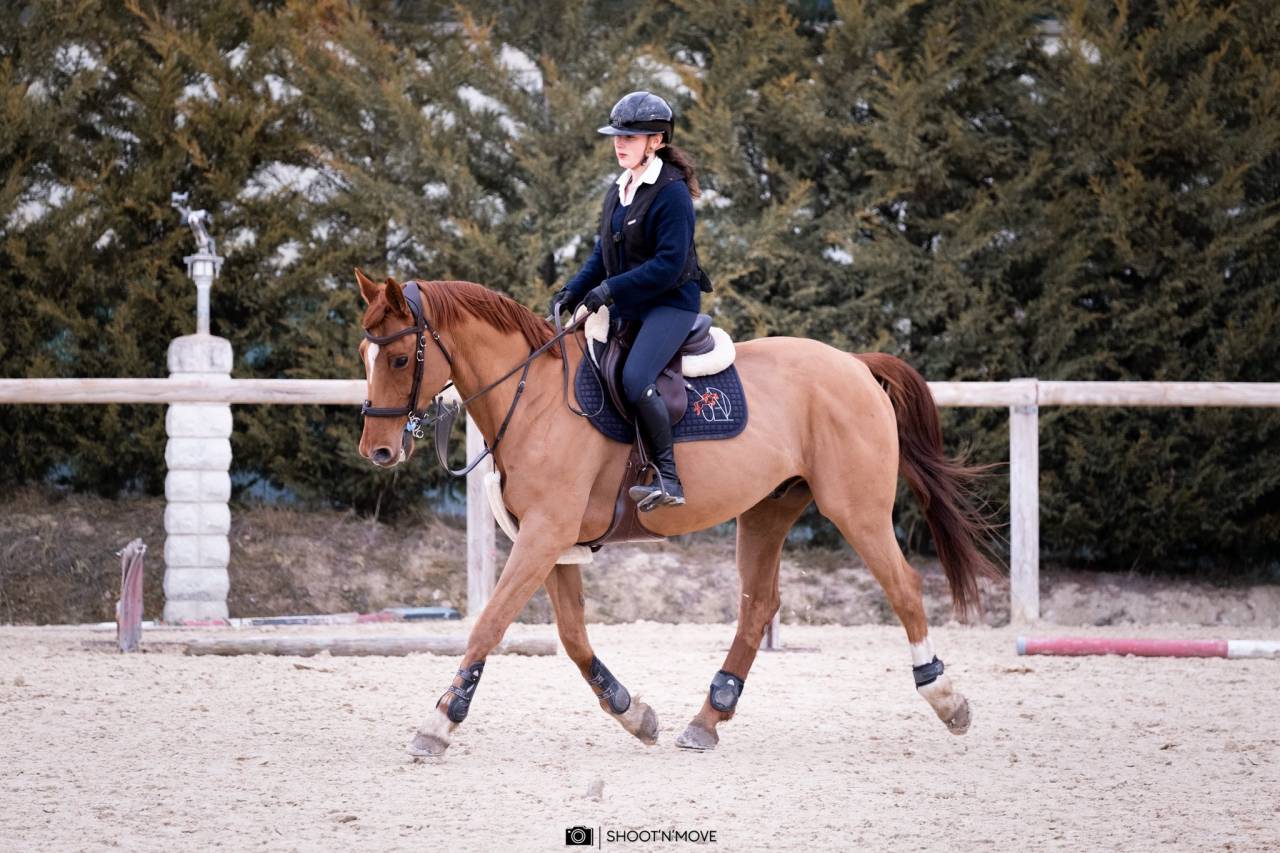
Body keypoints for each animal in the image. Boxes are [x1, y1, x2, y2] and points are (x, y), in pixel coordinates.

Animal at [353, 268, 999, 757]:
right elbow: (572, 637)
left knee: (903, 585)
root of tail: (856, 365)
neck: (531, 398)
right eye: (365, 353)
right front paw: (633, 713)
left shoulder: (544, 535)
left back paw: (947, 699)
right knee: (758, 606)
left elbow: (489, 624)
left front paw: (440, 722)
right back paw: (706, 719)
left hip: (856, 509)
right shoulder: (555, 544)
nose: (377, 450)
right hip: (766, 511)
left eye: (399, 357)